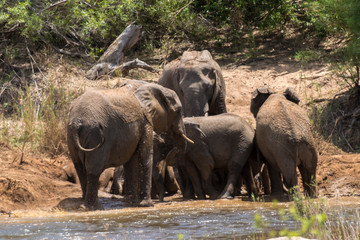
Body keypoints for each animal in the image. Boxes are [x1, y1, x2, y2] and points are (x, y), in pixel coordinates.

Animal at [66, 82, 193, 210]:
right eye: (178, 111)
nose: (175, 147)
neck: (153, 87)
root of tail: (77, 122)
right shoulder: (145, 122)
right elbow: (145, 157)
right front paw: (147, 205)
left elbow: (131, 162)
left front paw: (131, 203)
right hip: (94, 133)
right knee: (93, 168)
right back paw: (94, 207)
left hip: (72, 136)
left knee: (80, 167)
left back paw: (85, 203)